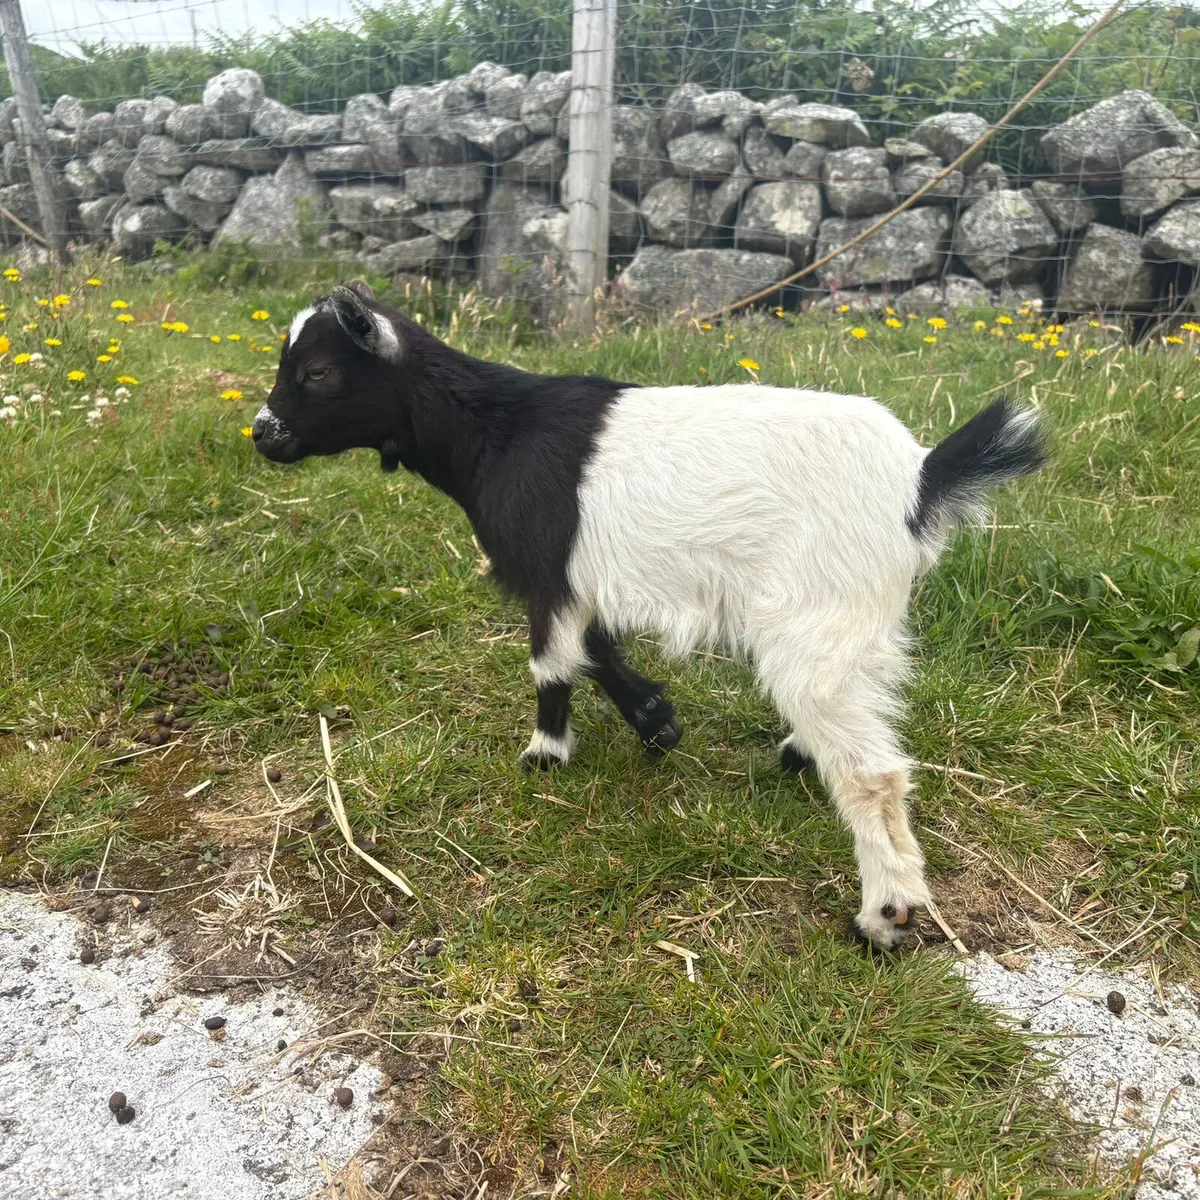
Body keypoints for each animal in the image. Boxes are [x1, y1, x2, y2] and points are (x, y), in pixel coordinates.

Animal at [252, 280, 1045, 949]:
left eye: (317, 372)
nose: (263, 433)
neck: (497, 432)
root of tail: (920, 479)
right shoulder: (579, 579)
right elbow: (596, 649)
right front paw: (658, 722)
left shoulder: (547, 568)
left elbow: (552, 662)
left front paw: (545, 753)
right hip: (850, 622)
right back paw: (800, 754)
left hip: (816, 614)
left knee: (872, 772)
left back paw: (886, 914)